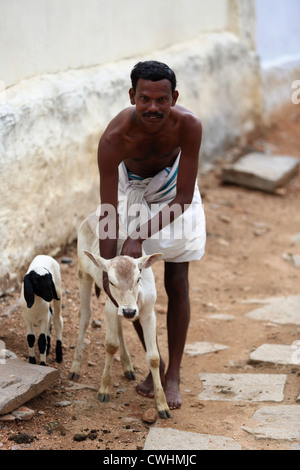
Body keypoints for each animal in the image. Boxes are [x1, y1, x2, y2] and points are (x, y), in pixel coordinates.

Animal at [68, 213, 171, 418]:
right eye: (112, 282)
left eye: (138, 278)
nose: (129, 311)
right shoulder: (110, 307)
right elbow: (110, 345)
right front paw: (104, 389)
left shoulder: (148, 312)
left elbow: (154, 357)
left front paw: (162, 405)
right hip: (83, 275)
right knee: (84, 316)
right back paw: (75, 367)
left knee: (121, 328)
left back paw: (128, 366)